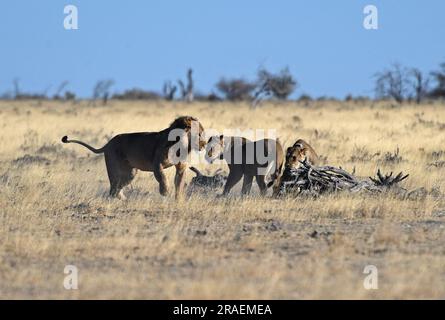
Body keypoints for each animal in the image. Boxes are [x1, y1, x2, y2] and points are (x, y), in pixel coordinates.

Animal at [61, 115, 206, 200]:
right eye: (199, 134)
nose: (204, 144)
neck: (181, 144)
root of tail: (108, 143)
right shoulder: (157, 164)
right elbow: (162, 177)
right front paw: (165, 192)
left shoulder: (181, 167)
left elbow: (179, 183)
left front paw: (178, 200)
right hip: (114, 168)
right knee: (113, 187)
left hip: (130, 173)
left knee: (118, 187)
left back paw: (123, 200)